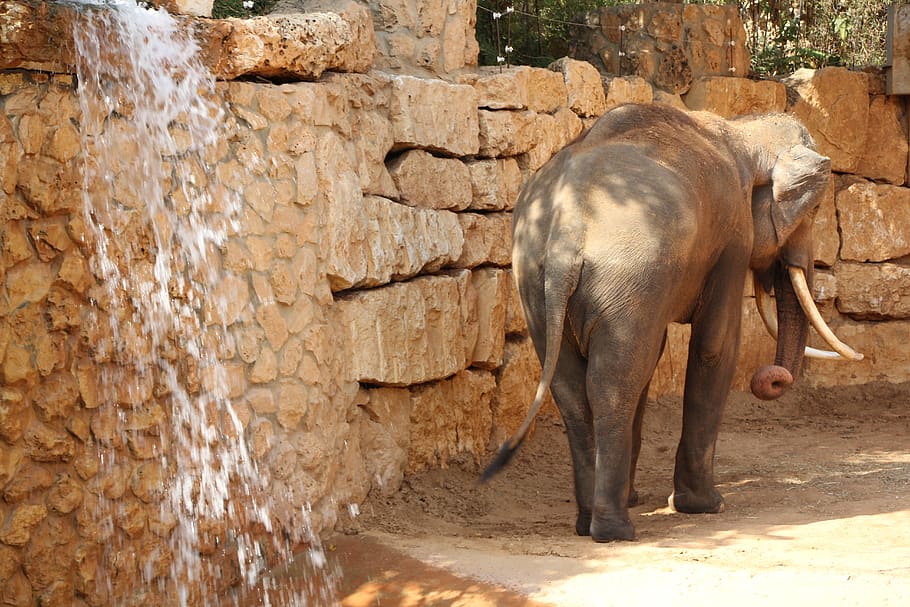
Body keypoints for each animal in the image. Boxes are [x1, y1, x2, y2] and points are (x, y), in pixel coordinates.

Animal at [484, 102, 864, 544]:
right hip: (622, 272)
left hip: (537, 281)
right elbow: (715, 346)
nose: (771, 379)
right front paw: (707, 506)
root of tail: (566, 232)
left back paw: (588, 522)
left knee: (575, 389)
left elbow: (656, 354)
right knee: (612, 385)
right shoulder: (732, 236)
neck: (742, 131)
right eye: (816, 210)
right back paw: (614, 531)